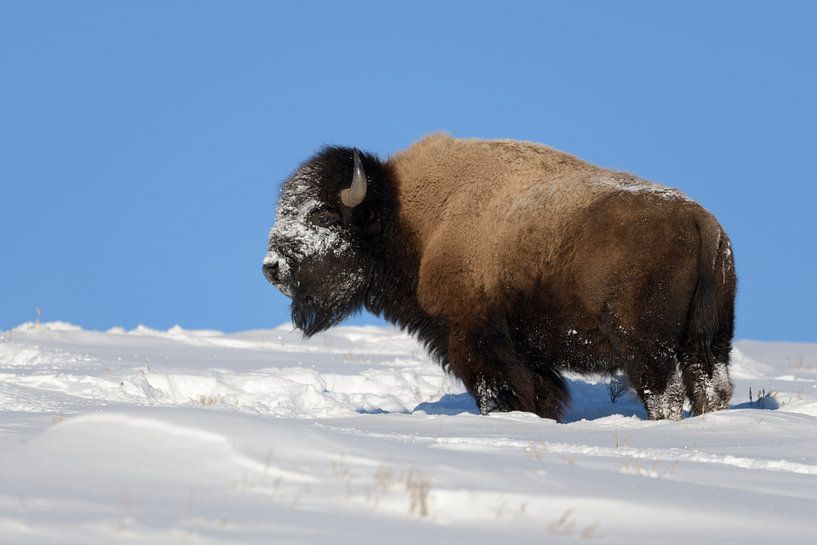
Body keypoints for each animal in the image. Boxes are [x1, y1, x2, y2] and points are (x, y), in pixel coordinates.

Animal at [263, 134, 736, 420]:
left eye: (323, 215)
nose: (271, 266)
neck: (408, 218)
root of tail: (702, 221)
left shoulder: (475, 341)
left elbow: (501, 391)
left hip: (646, 345)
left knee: (664, 394)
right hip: (708, 343)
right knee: (710, 389)